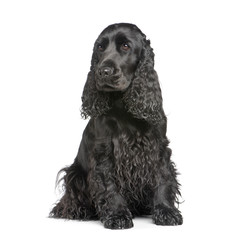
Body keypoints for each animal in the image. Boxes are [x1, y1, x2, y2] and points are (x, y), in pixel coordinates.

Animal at [50, 23, 183, 230]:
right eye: (100, 47)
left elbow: (163, 178)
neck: (124, 106)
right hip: (74, 174)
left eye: (125, 46)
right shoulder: (104, 152)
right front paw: (117, 215)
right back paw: (81, 212)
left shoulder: (159, 148)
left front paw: (166, 212)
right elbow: (109, 186)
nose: (103, 71)